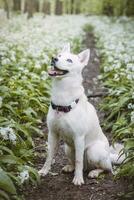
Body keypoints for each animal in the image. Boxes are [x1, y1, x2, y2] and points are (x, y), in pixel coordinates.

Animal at [39, 43, 123, 186]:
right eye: (59, 55)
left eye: (69, 60)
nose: (54, 58)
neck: (62, 94)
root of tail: (109, 155)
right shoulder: (52, 134)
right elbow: (49, 156)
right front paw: (44, 171)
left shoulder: (78, 137)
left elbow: (79, 161)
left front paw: (78, 179)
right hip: (67, 148)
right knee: (75, 162)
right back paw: (70, 167)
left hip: (93, 151)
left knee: (107, 168)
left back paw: (94, 172)